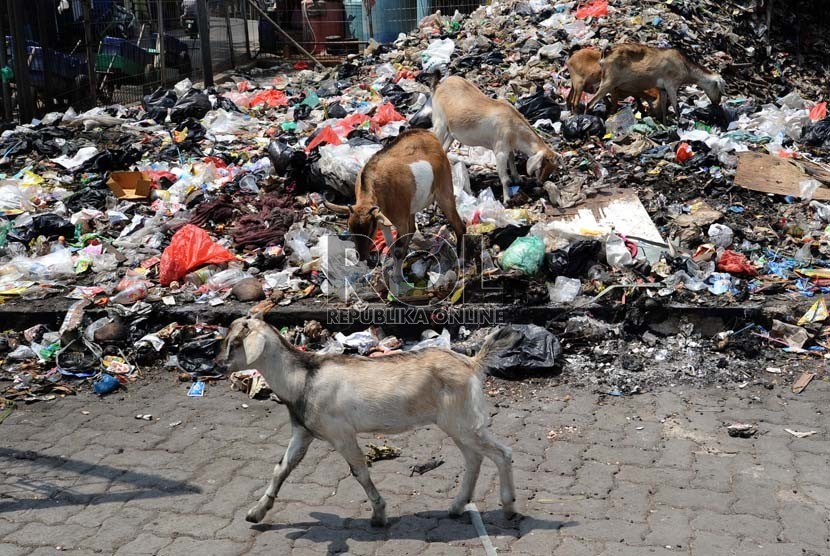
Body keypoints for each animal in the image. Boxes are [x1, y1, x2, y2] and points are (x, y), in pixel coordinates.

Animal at [218, 318, 524, 524]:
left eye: (235, 342)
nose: (219, 363)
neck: (304, 378)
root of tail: (471, 364)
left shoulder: (341, 434)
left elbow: (359, 472)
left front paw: (379, 513)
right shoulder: (303, 432)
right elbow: (281, 468)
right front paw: (256, 512)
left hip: (463, 421)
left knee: (502, 453)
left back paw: (508, 507)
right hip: (458, 424)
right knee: (474, 458)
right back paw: (457, 507)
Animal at [432, 71, 564, 202]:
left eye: (553, 168)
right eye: (541, 165)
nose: (540, 183)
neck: (512, 124)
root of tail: (440, 85)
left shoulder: (509, 148)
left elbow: (512, 162)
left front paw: (518, 179)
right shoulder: (500, 151)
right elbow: (505, 178)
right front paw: (507, 199)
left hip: (451, 132)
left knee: (444, 147)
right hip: (440, 123)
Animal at [584, 43, 728, 122]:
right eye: (718, 88)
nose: (717, 102)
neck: (685, 66)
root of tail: (607, 53)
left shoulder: (663, 88)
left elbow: (664, 107)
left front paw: (664, 123)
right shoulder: (671, 85)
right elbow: (676, 106)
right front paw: (679, 124)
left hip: (606, 80)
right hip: (609, 81)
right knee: (590, 103)